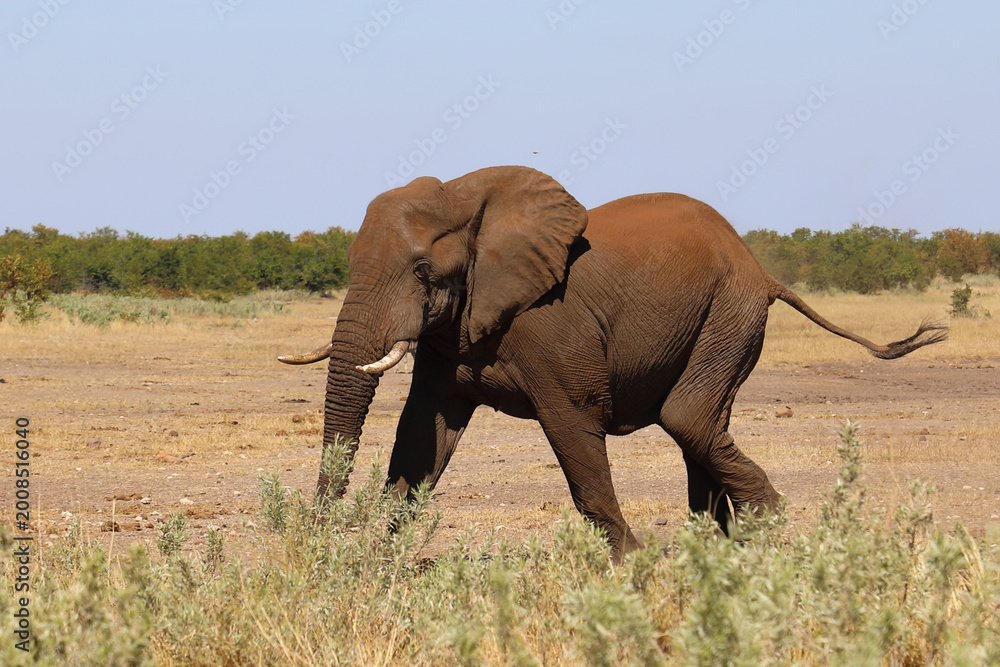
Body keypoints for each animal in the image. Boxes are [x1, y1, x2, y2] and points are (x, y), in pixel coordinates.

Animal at [279, 165, 946, 562]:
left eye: (422, 270)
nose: (316, 536)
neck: (467, 198)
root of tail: (761, 269)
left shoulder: (549, 326)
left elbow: (572, 425)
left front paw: (633, 563)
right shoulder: (453, 333)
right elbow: (424, 434)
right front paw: (378, 560)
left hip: (727, 313)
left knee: (688, 419)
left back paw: (771, 534)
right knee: (703, 427)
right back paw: (718, 548)